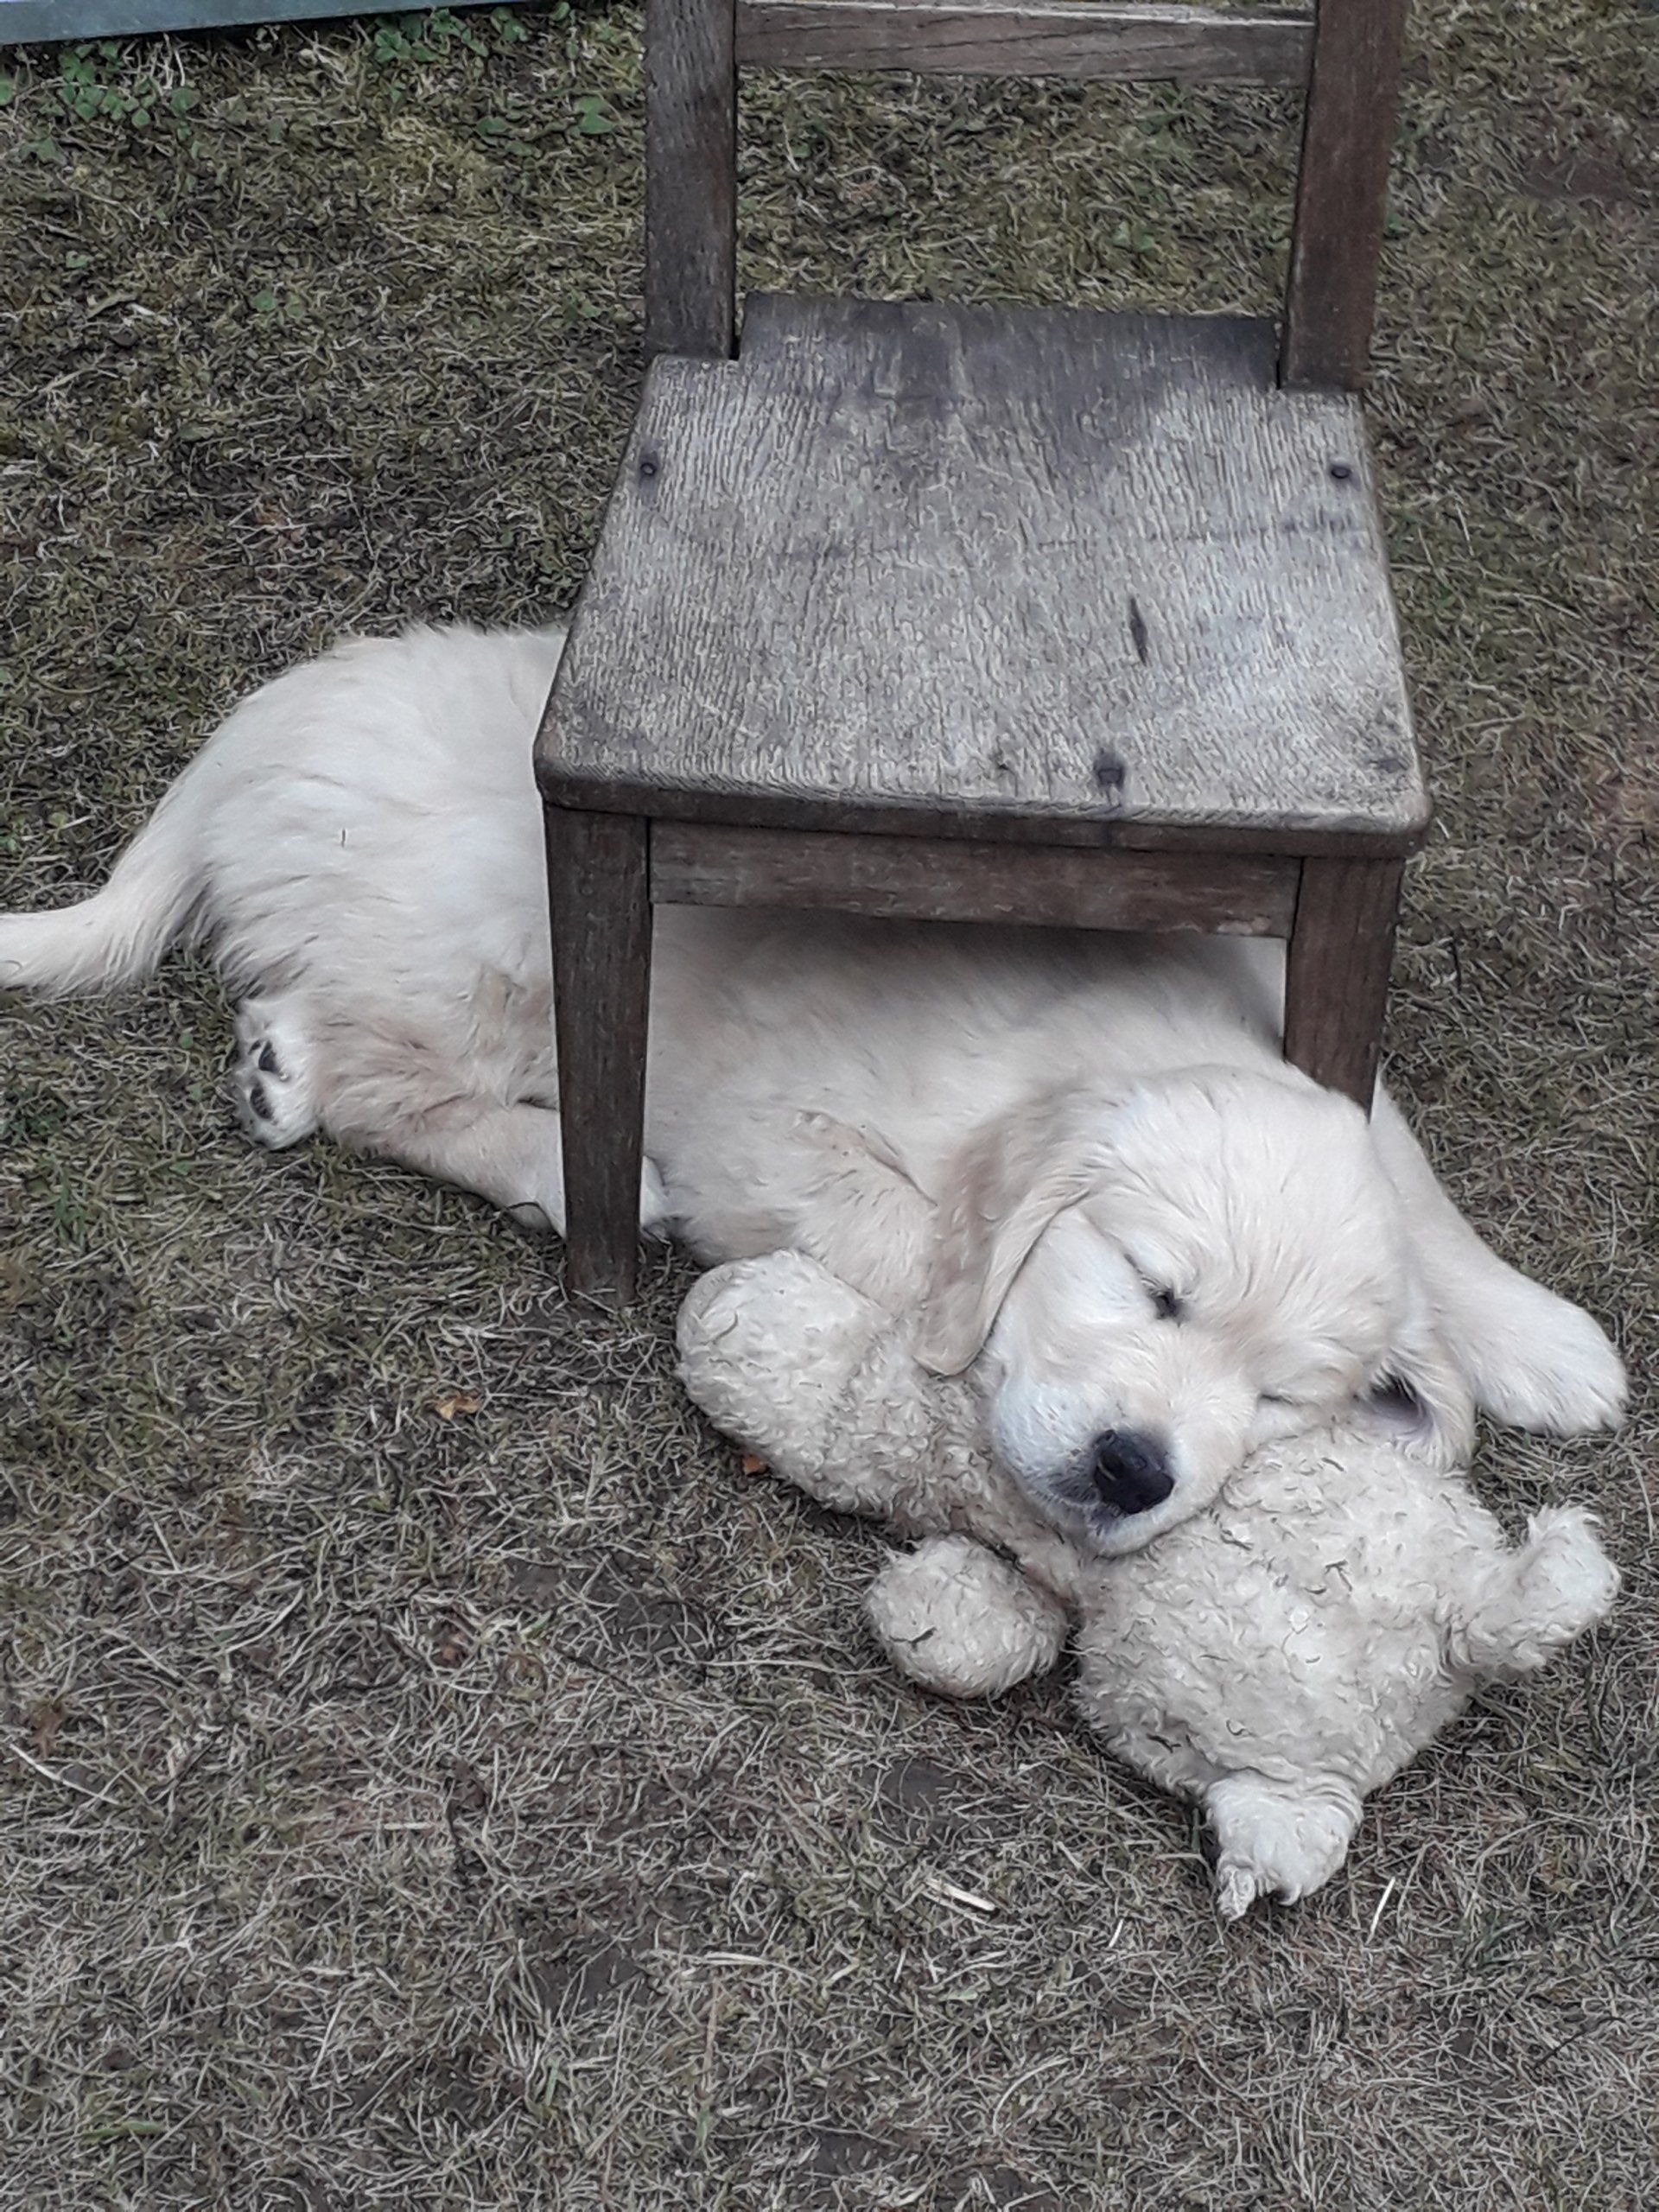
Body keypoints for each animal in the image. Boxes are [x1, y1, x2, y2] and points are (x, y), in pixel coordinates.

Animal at [0, 622, 1626, 1547]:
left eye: (1284, 1398)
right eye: (1152, 1292)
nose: (1134, 1472)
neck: (1090, 1049)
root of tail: (257, 727)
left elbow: (1408, 1183)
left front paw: (1535, 1342)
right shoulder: (773, 1129)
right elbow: (903, 1246)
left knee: (309, 1020)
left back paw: (285, 1075)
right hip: (507, 933)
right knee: (383, 1067)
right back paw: (545, 1168)